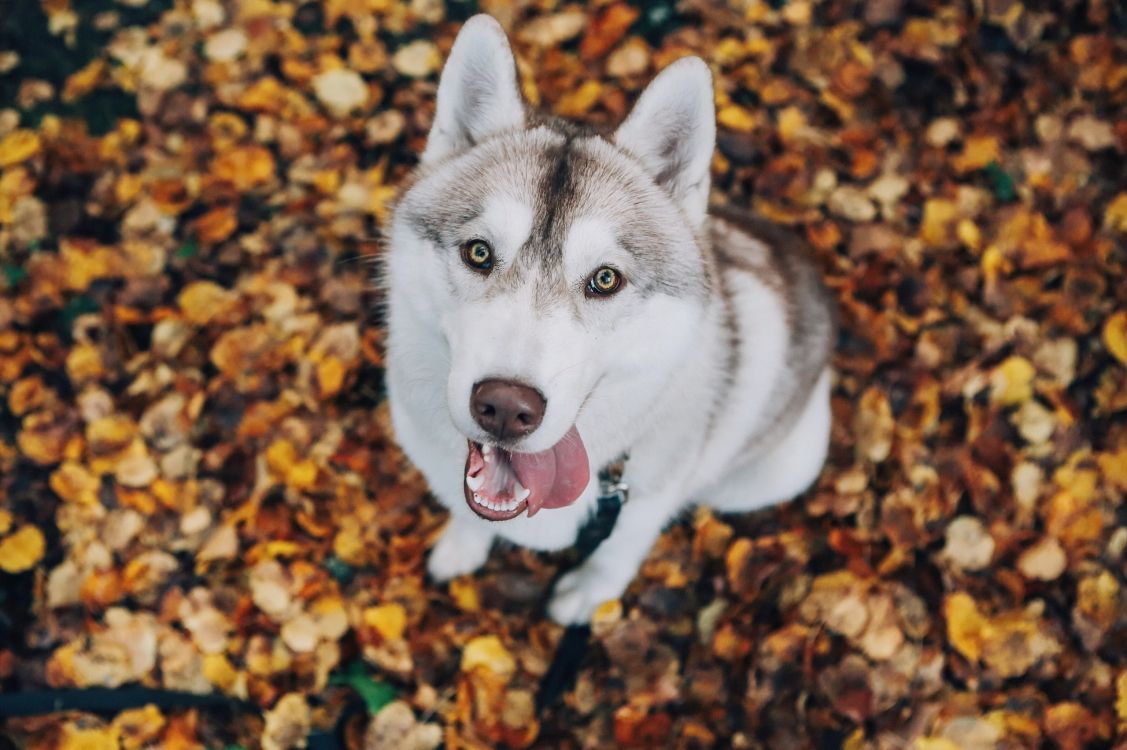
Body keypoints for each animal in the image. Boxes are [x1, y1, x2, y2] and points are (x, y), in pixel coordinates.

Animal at [387, 17, 838, 622]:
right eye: (478, 253)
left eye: (605, 279)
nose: (505, 407)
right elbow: (467, 512)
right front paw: (462, 546)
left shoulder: (647, 499)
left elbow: (619, 549)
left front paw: (587, 593)